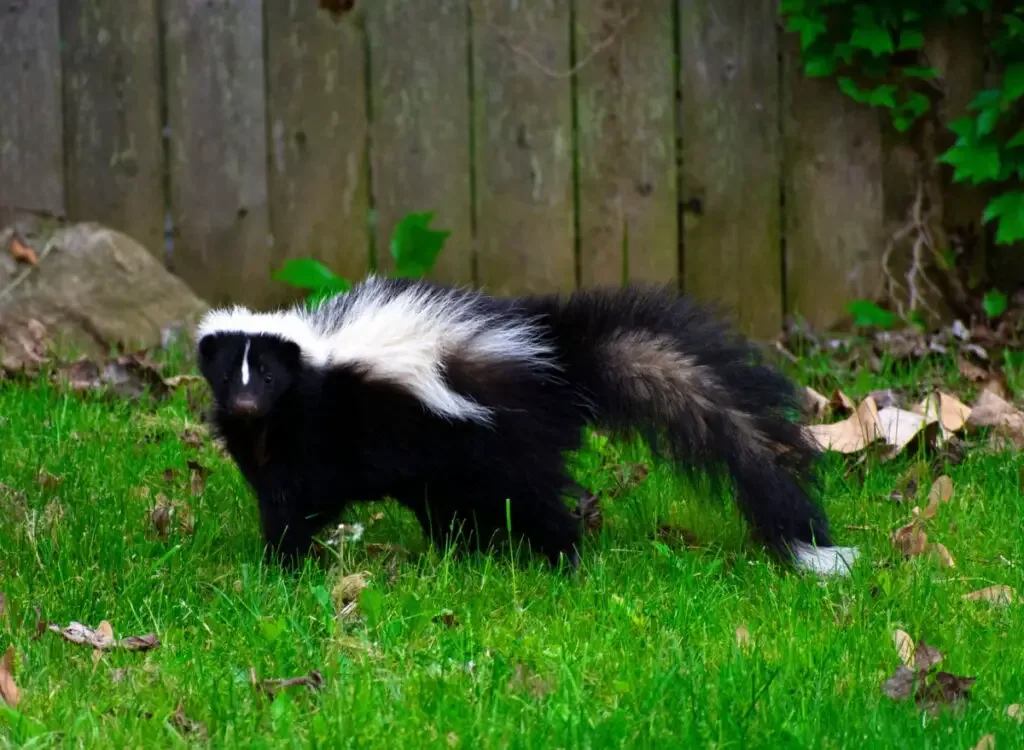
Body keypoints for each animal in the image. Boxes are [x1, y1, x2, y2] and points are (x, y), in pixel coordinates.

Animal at [193, 274, 856, 573]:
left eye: (268, 377)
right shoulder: (269, 445)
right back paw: (468, 554)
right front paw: (280, 558)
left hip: (500, 447)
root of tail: (559, 363)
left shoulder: (318, 434)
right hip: (458, 467)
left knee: (538, 501)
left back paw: (565, 561)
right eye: (229, 377)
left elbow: (300, 499)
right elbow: (278, 493)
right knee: (458, 509)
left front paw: (282, 562)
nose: (247, 405)